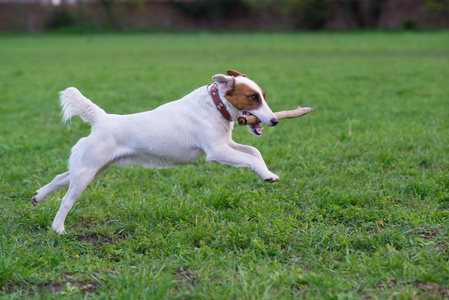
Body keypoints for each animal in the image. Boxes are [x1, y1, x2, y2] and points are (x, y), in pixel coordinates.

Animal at [31, 69, 278, 233]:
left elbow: (254, 152)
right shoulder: (216, 151)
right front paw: (266, 175)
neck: (215, 105)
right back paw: (58, 229)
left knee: (60, 178)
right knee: (66, 200)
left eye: (263, 96)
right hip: (87, 171)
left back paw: (38, 197)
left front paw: (268, 172)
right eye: (253, 97)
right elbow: (249, 158)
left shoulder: (227, 144)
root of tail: (102, 119)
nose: (275, 121)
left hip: (93, 167)